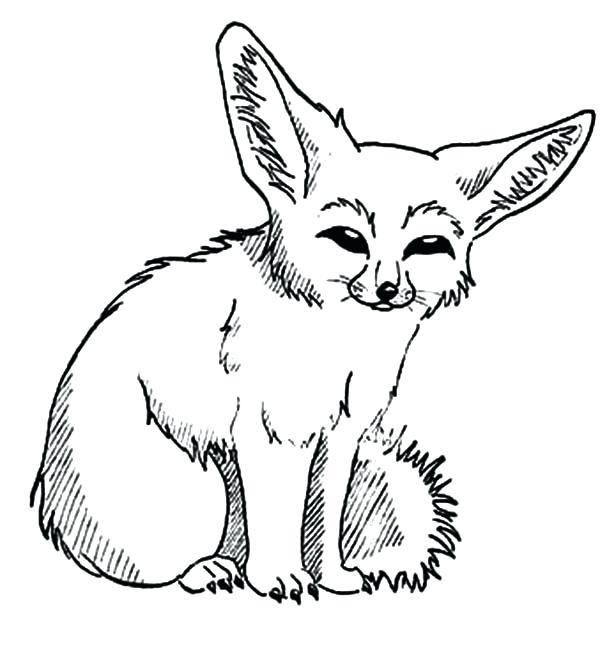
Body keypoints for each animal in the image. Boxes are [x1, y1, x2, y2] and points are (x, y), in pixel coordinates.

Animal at [31, 22, 594, 603]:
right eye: (348, 238)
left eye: (427, 246)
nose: (388, 288)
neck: (339, 345)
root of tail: (55, 516)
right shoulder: (265, 430)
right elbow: (274, 510)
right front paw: (277, 577)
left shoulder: (340, 432)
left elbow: (323, 508)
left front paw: (332, 575)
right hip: (197, 487)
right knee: (149, 567)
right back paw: (208, 569)